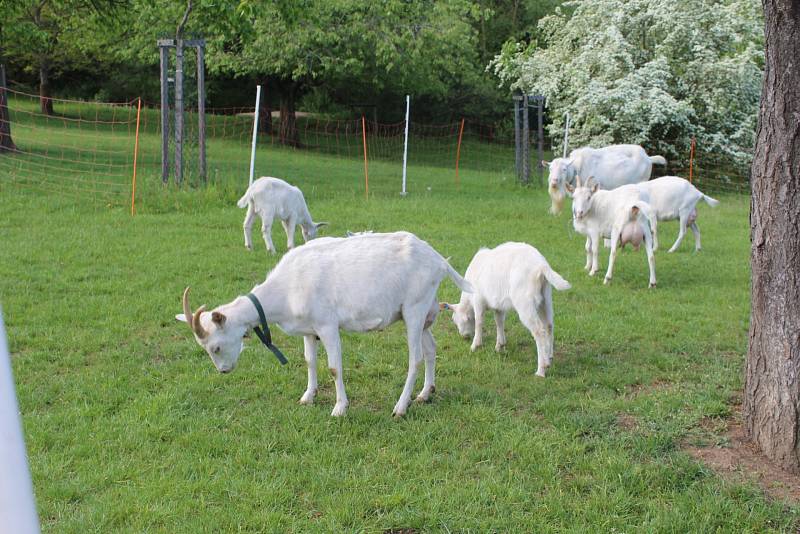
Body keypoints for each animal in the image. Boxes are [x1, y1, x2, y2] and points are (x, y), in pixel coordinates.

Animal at [177, 232, 476, 420]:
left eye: (215, 347)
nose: (224, 371)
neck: (286, 289)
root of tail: (438, 261)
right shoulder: (309, 330)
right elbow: (309, 360)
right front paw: (307, 397)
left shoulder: (327, 325)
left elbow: (334, 367)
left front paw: (340, 409)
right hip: (425, 311)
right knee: (431, 349)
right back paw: (425, 394)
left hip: (414, 309)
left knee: (415, 358)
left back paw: (400, 408)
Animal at [438, 245, 568, 378]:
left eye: (454, 320)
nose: (463, 336)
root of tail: (541, 266)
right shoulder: (498, 305)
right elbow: (499, 322)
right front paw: (499, 345)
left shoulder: (478, 299)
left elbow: (479, 321)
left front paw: (475, 346)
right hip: (546, 298)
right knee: (549, 325)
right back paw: (549, 357)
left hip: (525, 301)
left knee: (539, 331)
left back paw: (541, 369)